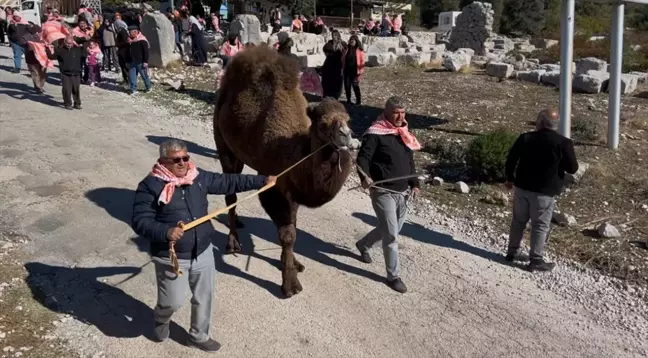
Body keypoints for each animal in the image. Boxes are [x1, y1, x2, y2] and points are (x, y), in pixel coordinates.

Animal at [213, 44, 354, 296]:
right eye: (323, 124)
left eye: (349, 120)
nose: (345, 136)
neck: (294, 153)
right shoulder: (273, 186)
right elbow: (288, 233)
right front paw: (290, 284)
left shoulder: (292, 188)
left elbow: (294, 224)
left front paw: (294, 263)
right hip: (223, 145)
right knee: (230, 193)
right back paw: (233, 242)